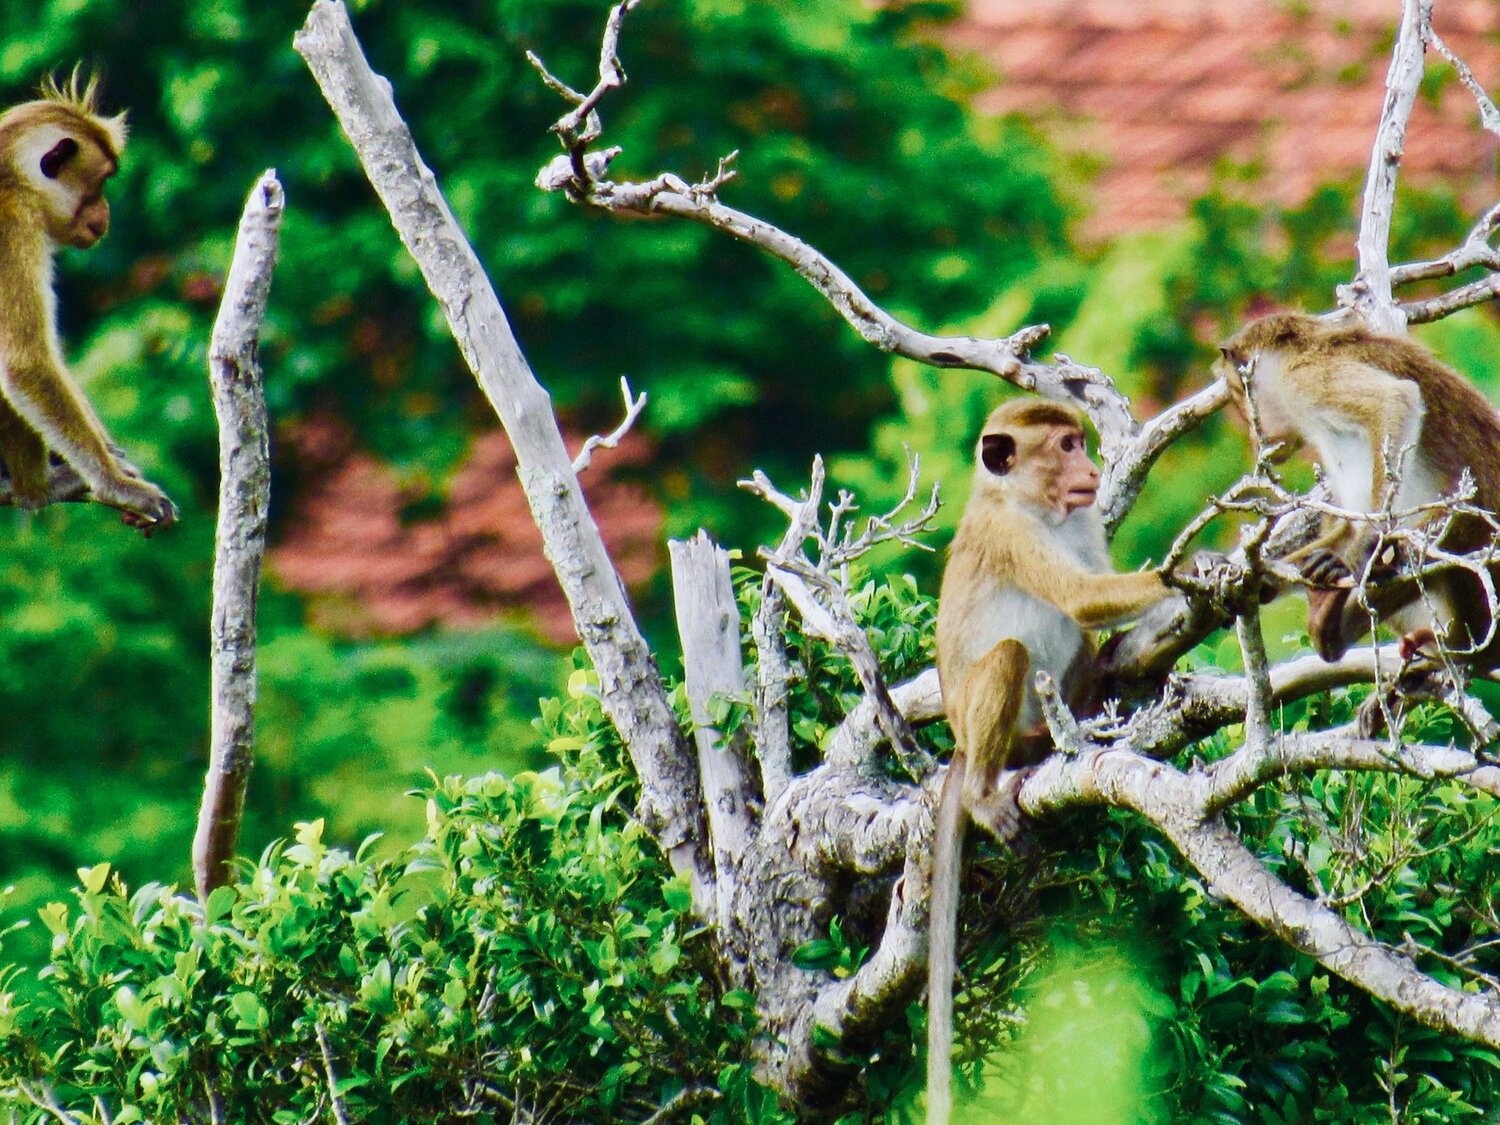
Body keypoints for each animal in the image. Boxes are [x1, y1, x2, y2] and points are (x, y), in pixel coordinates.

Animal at [0, 73, 175, 533]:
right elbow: (24, 361)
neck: (12, 181)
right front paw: (118, 486)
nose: (106, 215)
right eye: (99, 184)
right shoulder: (13, 229)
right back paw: (38, 490)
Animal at [926, 398, 1175, 1125]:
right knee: (1009, 653)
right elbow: (1081, 597)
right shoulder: (1008, 533)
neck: (1031, 505)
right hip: (988, 728)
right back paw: (982, 793)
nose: (1090, 469)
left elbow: (1089, 608)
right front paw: (1190, 569)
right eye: (1065, 446)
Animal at [1217, 312, 1500, 665]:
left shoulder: (1304, 378)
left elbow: (1395, 401)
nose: (1256, 438)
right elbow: (1345, 523)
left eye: (1236, 393)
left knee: (1450, 530)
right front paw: (1260, 578)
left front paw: (1366, 545)